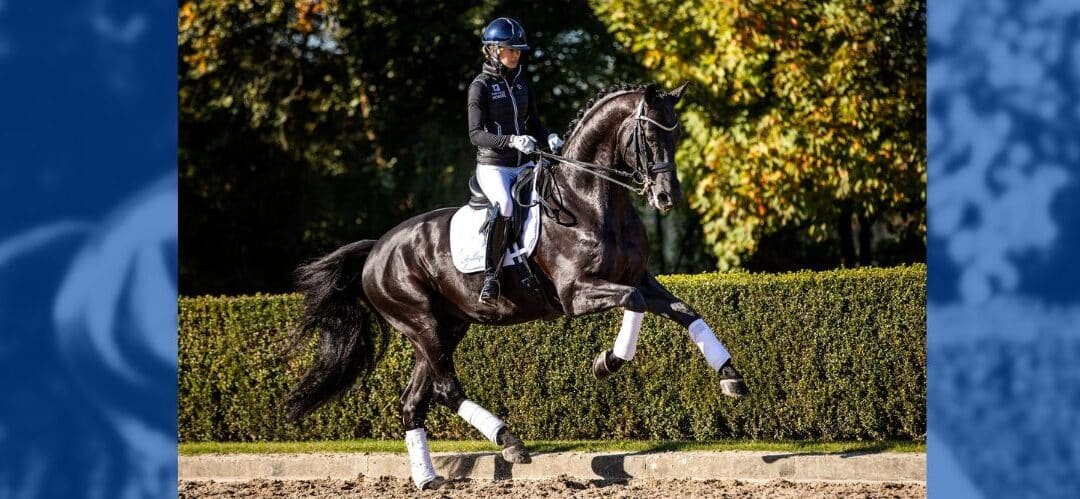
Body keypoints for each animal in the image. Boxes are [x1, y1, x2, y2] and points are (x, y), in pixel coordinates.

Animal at [285, 81, 749, 490]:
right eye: (650, 134)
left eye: (677, 133)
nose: (667, 198)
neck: (592, 201)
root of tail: (376, 250)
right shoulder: (577, 292)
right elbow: (634, 303)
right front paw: (608, 362)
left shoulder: (636, 278)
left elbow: (686, 312)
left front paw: (731, 378)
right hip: (422, 323)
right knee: (446, 388)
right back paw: (508, 441)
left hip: (444, 328)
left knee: (414, 401)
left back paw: (428, 479)